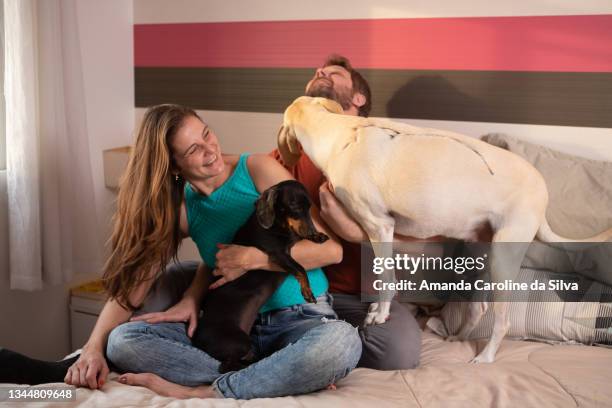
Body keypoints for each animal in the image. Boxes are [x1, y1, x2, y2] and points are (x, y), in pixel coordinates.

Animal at [278, 95, 612, 364]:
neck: (340, 133)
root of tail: (543, 192)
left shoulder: (379, 225)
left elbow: (386, 280)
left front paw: (380, 315)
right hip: (483, 253)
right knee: (477, 309)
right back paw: (456, 339)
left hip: (503, 259)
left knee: (501, 321)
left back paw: (485, 358)